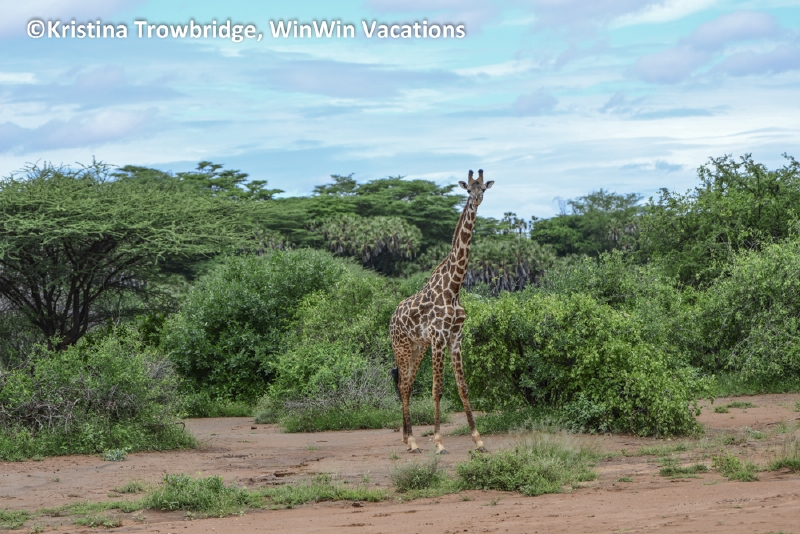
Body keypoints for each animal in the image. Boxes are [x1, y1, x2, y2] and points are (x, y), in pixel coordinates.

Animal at [390, 169, 494, 454]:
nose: (477, 200)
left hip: (417, 347)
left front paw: (478, 440)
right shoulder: (438, 337)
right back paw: (413, 442)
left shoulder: (455, 337)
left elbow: (463, 387)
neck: (454, 287)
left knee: (407, 385)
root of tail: (391, 318)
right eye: (468, 189)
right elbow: (437, 388)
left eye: (484, 188)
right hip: (402, 346)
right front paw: (438, 442)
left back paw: (407, 438)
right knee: (403, 385)